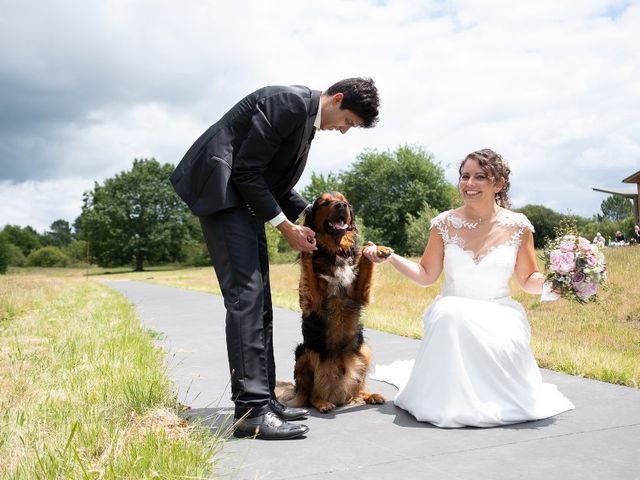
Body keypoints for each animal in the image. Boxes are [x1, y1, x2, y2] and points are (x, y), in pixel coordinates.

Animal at [276, 191, 392, 412]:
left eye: (343, 199)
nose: (342, 206)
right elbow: (307, 261)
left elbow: (365, 253)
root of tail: (338, 397)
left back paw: (370, 395)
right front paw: (307, 245)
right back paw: (322, 403)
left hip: (363, 349)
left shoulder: (360, 293)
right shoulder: (310, 300)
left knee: (358, 390)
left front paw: (378, 249)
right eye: (325, 203)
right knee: (310, 396)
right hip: (306, 351)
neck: (336, 251)